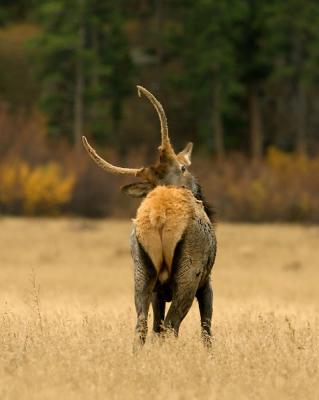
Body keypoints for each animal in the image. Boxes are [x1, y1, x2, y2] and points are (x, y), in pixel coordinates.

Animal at [82, 85, 218, 346]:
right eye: (183, 167)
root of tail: (159, 217)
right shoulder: (207, 283)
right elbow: (206, 329)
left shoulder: (157, 292)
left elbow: (155, 325)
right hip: (189, 272)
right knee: (171, 326)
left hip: (141, 271)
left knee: (143, 326)